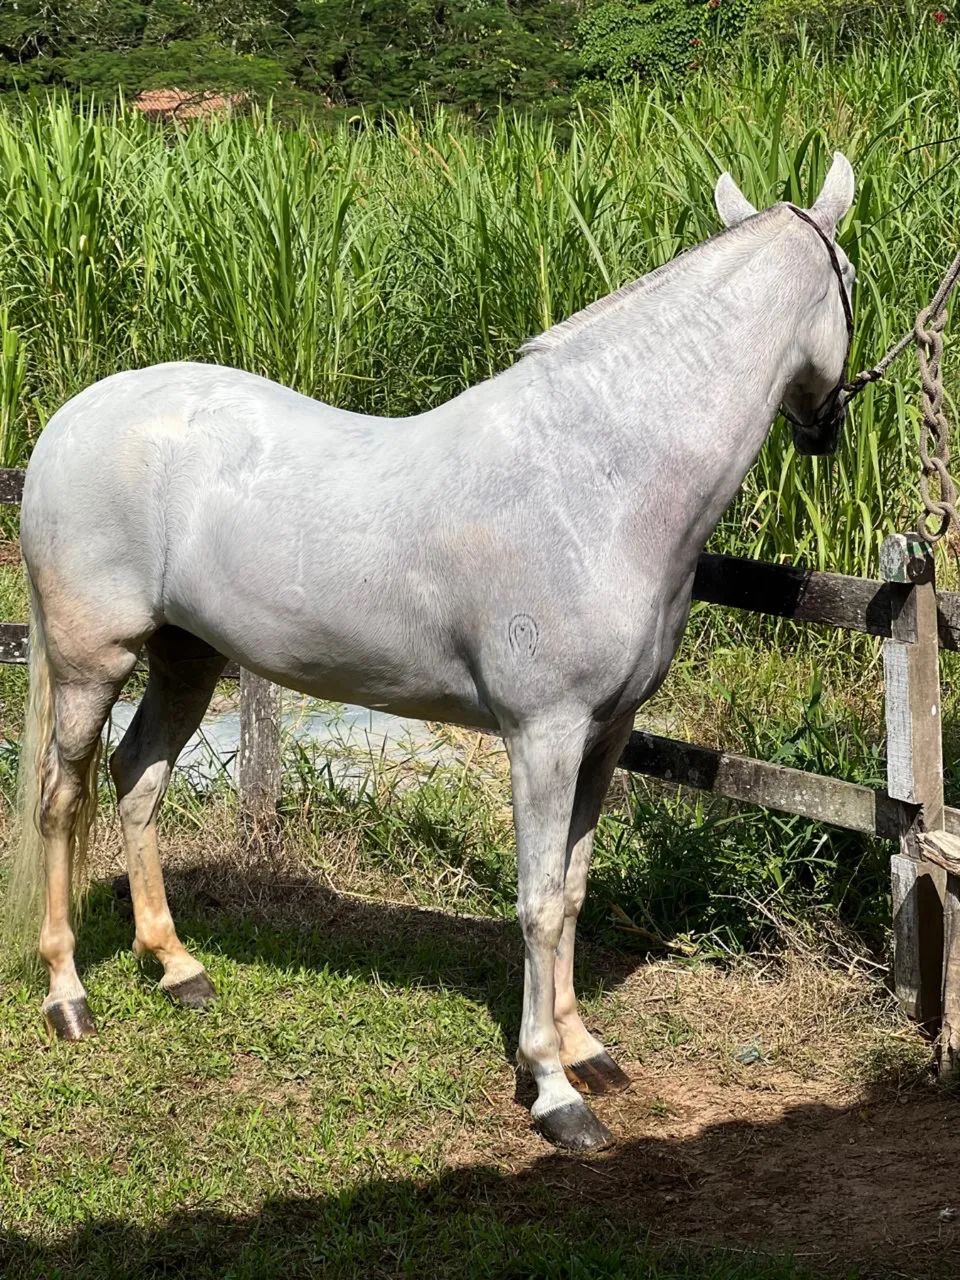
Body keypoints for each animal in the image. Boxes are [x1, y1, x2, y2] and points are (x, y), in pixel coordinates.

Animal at [7, 153, 856, 1151]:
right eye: (853, 274)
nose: (826, 426)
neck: (599, 476)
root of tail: (75, 417)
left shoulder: (605, 736)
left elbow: (573, 890)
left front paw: (588, 1051)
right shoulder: (544, 735)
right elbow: (536, 904)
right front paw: (553, 1090)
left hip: (189, 654)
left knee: (139, 776)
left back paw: (178, 968)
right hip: (90, 661)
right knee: (64, 798)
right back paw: (69, 997)